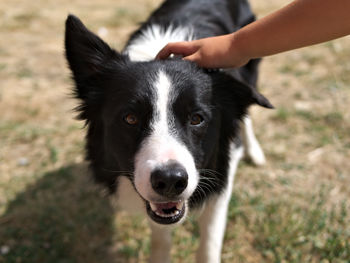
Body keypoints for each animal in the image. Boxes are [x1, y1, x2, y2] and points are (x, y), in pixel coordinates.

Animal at [65, 1, 274, 262]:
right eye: (130, 118)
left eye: (196, 119)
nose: (171, 180)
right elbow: (160, 236)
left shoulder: (220, 175)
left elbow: (209, 243)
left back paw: (253, 150)